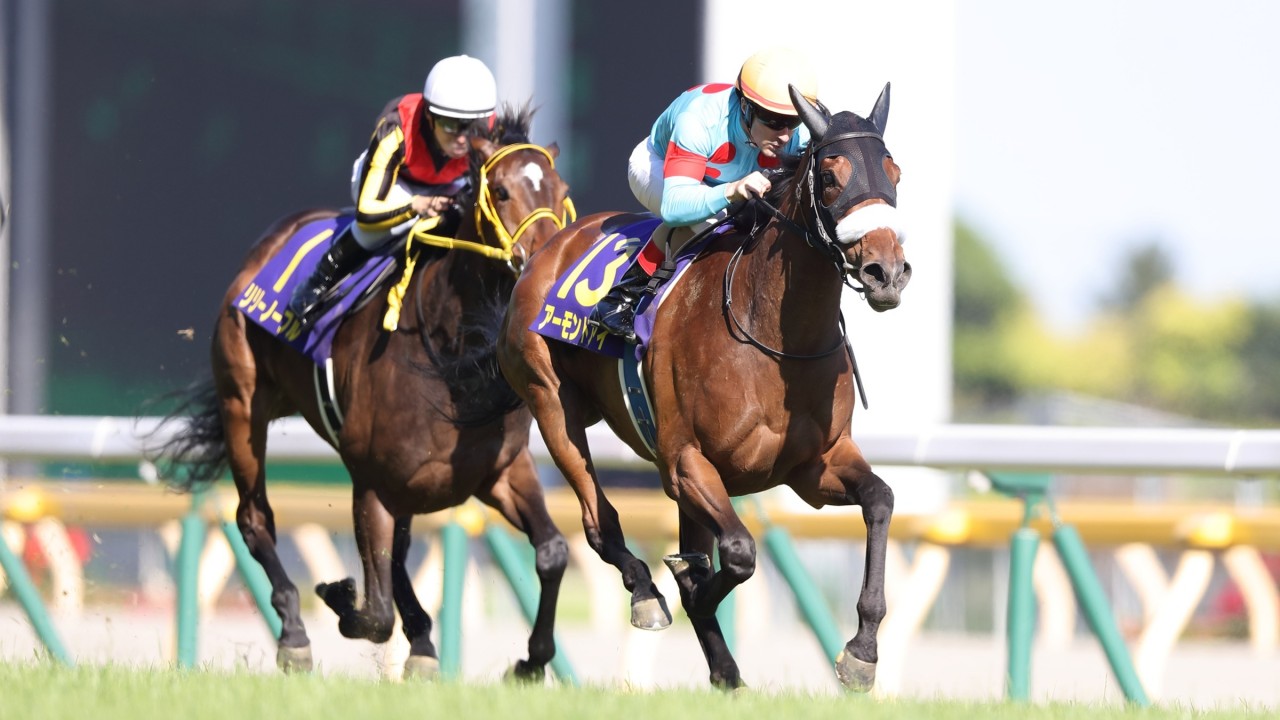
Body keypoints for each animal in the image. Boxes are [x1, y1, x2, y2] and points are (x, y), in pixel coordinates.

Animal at [151, 106, 576, 679]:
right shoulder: (371, 483)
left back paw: (420, 641)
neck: (448, 356)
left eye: (559, 189)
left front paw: (530, 662)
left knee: (395, 556)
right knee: (254, 518)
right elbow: (374, 612)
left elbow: (552, 551)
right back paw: (294, 633)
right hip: (243, 404)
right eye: (504, 191)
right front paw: (335, 593)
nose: (544, 260)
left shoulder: (500, 471)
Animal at [497, 85, 910, 690]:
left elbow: (880, 500)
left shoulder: (815, 467)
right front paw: (687, 590)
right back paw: (638, 600)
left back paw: (724, 670)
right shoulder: (687, 464)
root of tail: (547, 246)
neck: (772, 338)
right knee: (599, 522)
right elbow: (735, 555)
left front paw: (861, 651)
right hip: (551, 405)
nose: (887, 271)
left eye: (894, 172)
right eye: (831, 176)